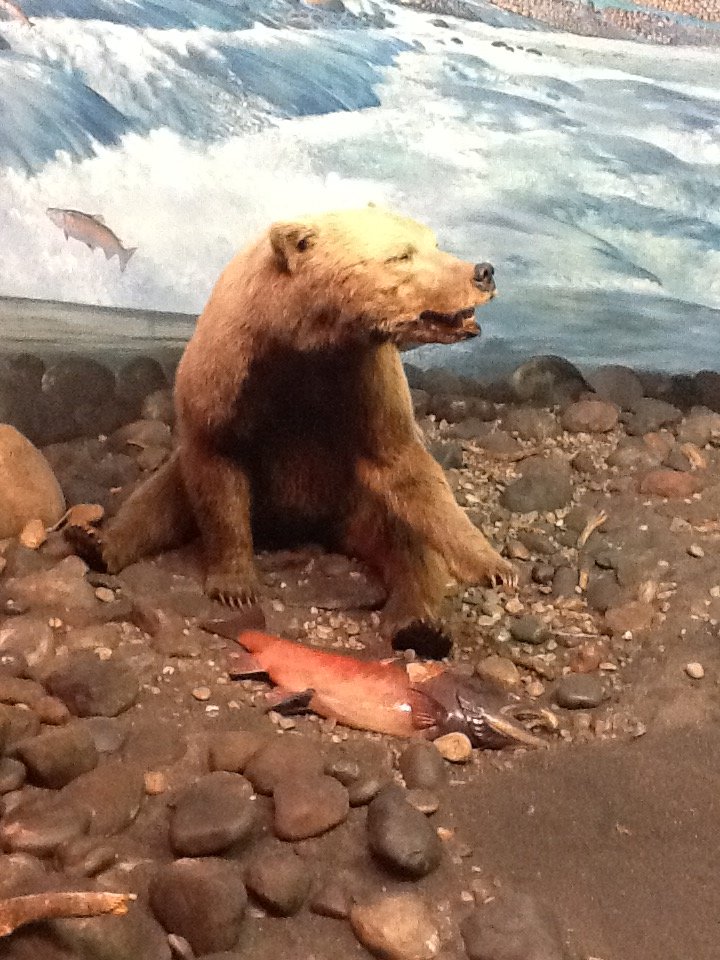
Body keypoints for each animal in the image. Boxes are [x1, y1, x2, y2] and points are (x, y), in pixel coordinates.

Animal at [66, 205, 514, 637]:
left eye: (434, 242)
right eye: (401, 254)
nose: (483, 271)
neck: (303, 337)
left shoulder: (361, 379)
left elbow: (406, 468)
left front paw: (494, 565)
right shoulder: (231, 378)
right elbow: (217, 477)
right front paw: (235, 585)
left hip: (358, 504)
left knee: (407, 539)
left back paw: (419, 623)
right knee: (157, 500)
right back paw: (94, 541)